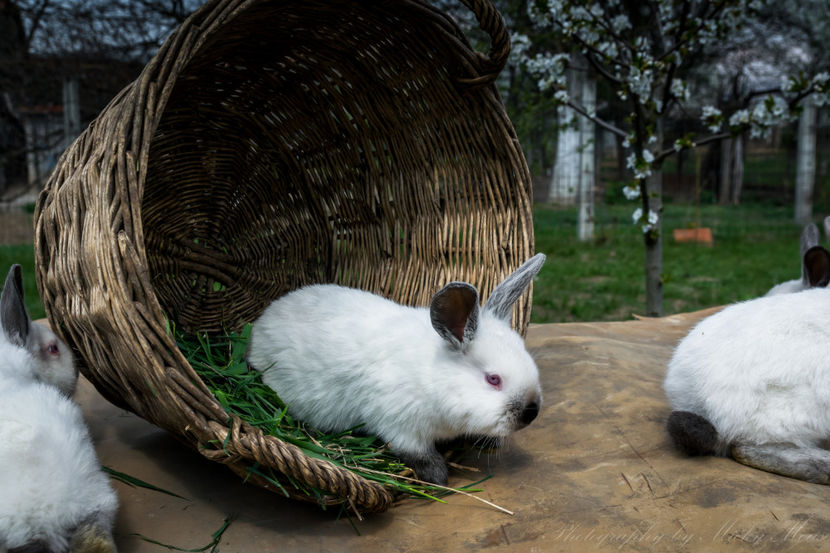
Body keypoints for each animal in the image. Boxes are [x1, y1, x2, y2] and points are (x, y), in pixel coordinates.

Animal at [245, 254, 544, 484]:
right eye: (493, 379)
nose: (531, 413)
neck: (434, 374)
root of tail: (261, 324)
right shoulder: (400, 425)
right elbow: (417, 454)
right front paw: (438, 477)